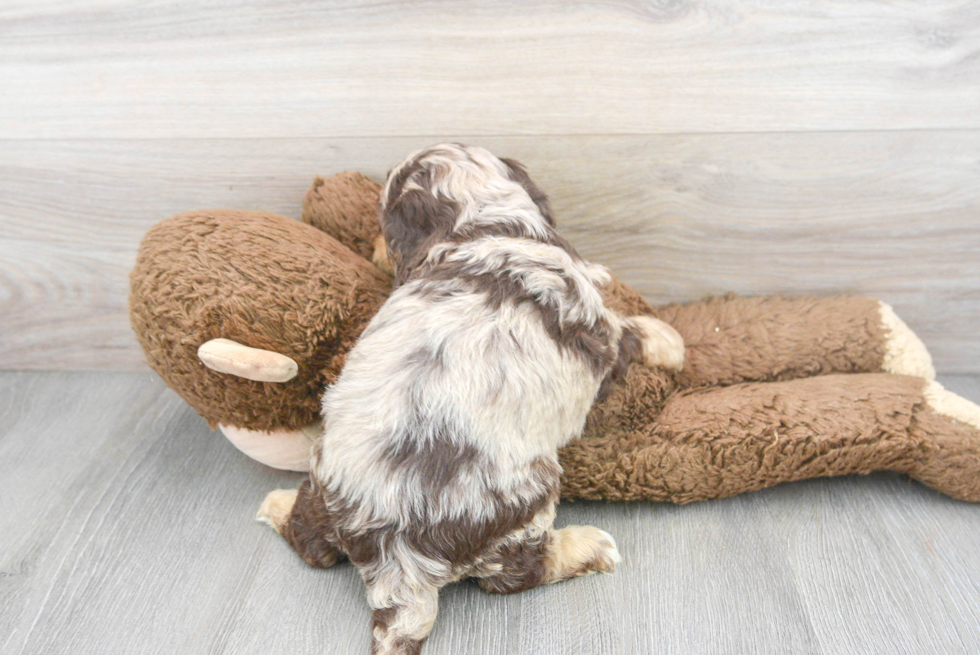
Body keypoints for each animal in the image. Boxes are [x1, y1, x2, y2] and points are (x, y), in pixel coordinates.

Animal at [256, 145, 684, 655]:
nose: (376, 249)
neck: (484, 226)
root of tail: (394, 559)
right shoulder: (597, 328)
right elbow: (629, 333)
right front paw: (669, 340)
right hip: (526, 502)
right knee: (515, 574)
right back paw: (588, 548)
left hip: (325, 485)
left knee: (312, 544)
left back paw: (276, 504)